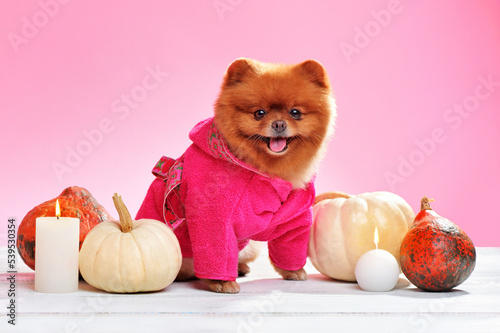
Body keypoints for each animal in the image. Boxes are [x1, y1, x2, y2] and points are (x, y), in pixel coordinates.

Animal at [136, 58, 336, 292]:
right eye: (259, 113)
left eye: (295, 112)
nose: (279, 124)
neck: (264, 169)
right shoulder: (214, 215)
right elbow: (217, 251)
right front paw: (222, 282)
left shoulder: (295, 216)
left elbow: (289, 245)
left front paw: (293, 271)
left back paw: (240, 268)